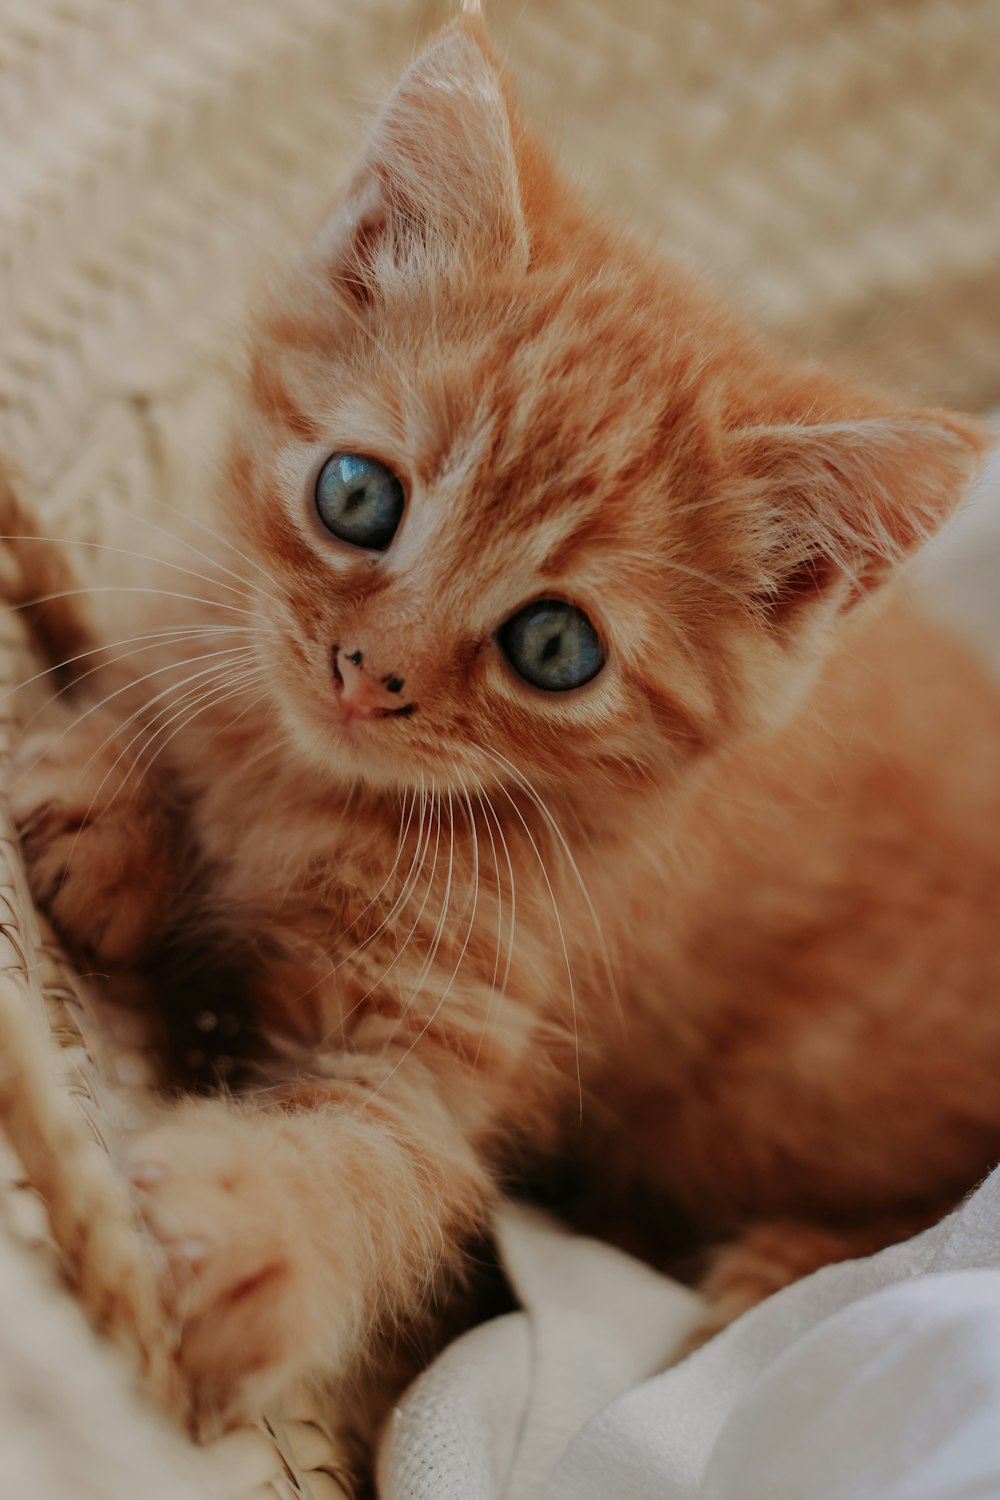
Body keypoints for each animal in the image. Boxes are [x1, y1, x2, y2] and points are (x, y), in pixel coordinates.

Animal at [7, 11, 1000, 1428]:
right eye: (356, 495)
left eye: (552, 647)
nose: (366, 673)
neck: (309, 791)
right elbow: (172, 648)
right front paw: (118, 802)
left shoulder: (450, 1040)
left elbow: (387, 1166)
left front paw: (246, 1227)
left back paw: (769, 1274)